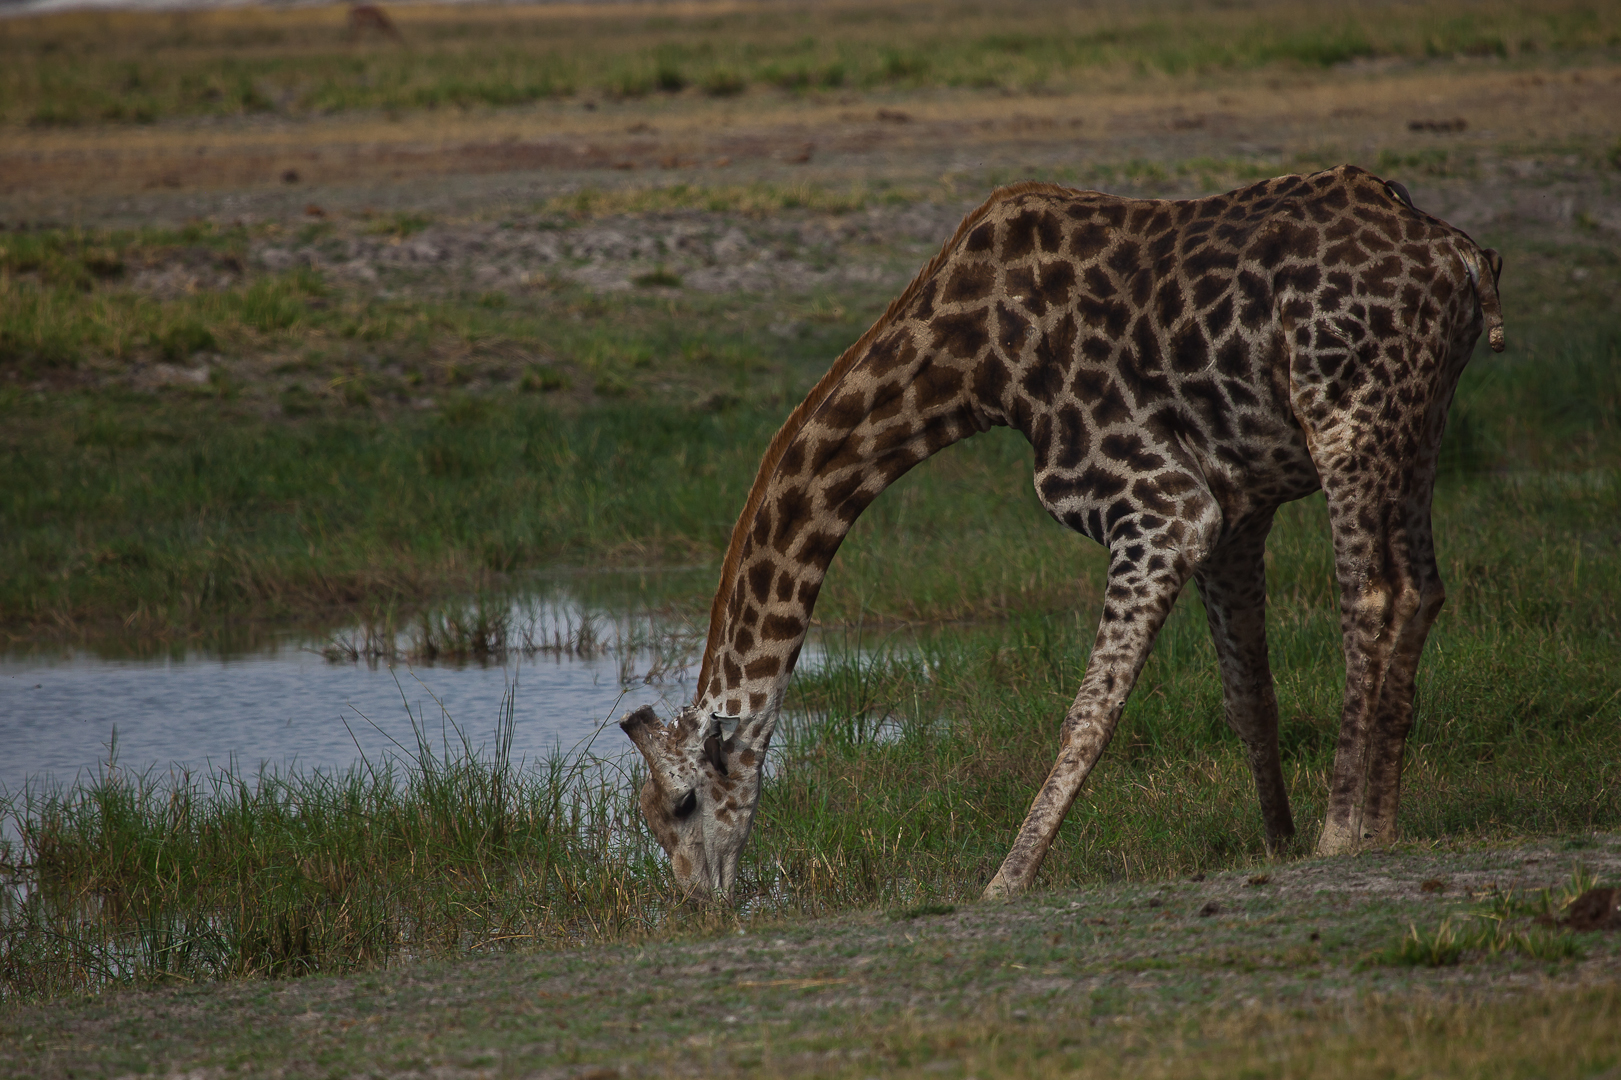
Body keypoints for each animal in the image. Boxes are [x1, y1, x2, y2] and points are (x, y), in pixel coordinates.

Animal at [619, 162, 1504, 901]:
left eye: (685, 801)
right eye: (651, 817)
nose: (702, 903)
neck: (972, 363)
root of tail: (1458, 259)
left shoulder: (1162, 506)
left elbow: (1088, 710)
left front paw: (1004, 880)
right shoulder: (1235, 509)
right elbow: (1248, 694)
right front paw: (1274, 842)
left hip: (1343, 416)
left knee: (1372, 595)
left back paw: (1342, 831)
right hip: (1419, 419)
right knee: (1420, 590)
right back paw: (1379, 825)